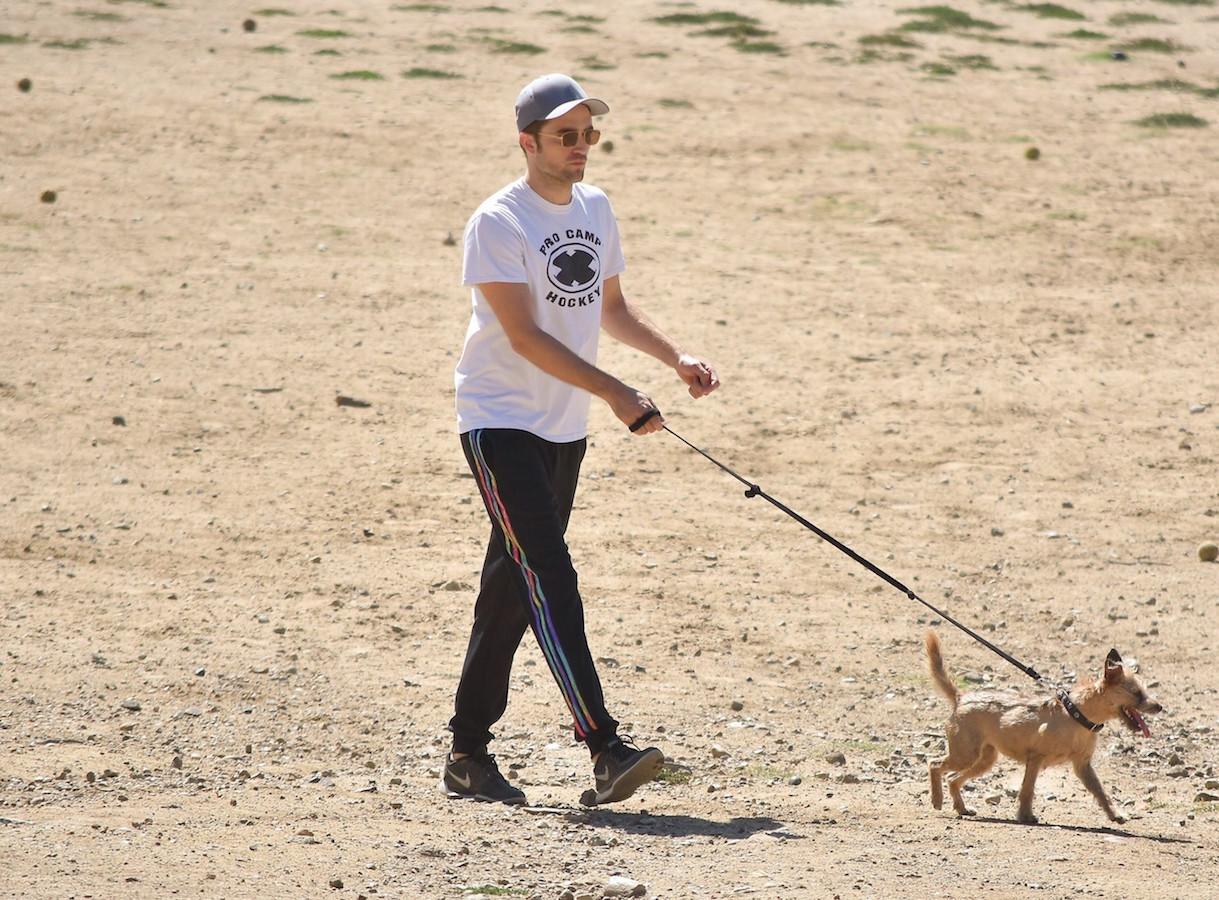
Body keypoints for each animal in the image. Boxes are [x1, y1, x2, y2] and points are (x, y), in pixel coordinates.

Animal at [921, 629, 1160, 824]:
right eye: (1136, 693)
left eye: (1144, 691)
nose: (1159, 707)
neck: (1076, 714)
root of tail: (961, 698)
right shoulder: (1035, 758)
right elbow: (1027, 789)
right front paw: (1025, 816)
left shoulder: (1083, 766)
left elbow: (1101, 792)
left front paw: (1115, 814)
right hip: (966, 754)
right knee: (935, 764)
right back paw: (937, 799)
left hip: (984, 759)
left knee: (952, 778)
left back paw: (961, 808)